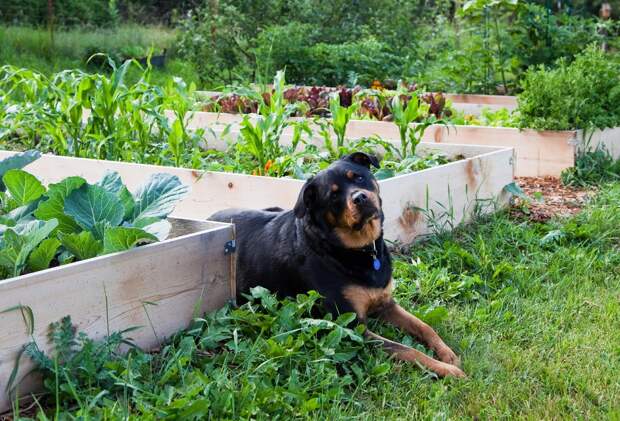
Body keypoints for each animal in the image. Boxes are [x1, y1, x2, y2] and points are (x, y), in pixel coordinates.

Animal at [209, 152, 464, 378]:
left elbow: (424, 326)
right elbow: (407, 349)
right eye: (332, 196)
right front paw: (446, 370)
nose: (359, 197)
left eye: (358, 177)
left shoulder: (386, 304)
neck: (358, 249)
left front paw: (448, 354)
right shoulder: (354, 328)